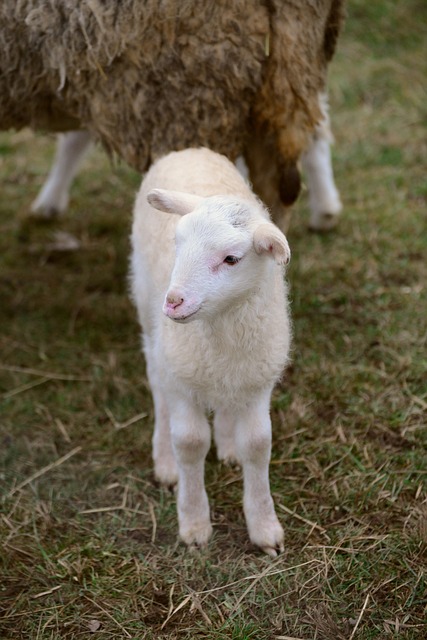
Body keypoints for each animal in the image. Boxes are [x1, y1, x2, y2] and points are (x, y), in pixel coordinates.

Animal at [129, 146, 292, 556]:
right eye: (177, 244)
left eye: (231, 259)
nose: (173, 302)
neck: (221, 329)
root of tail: (189, 150)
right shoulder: (182, 381)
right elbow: (190, 442)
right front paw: (194, 523)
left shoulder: (256, 382)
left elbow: (258, 444)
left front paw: (264, 527)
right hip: (152, 327)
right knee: (157, 385)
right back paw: (165, 461)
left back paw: (227, 443)